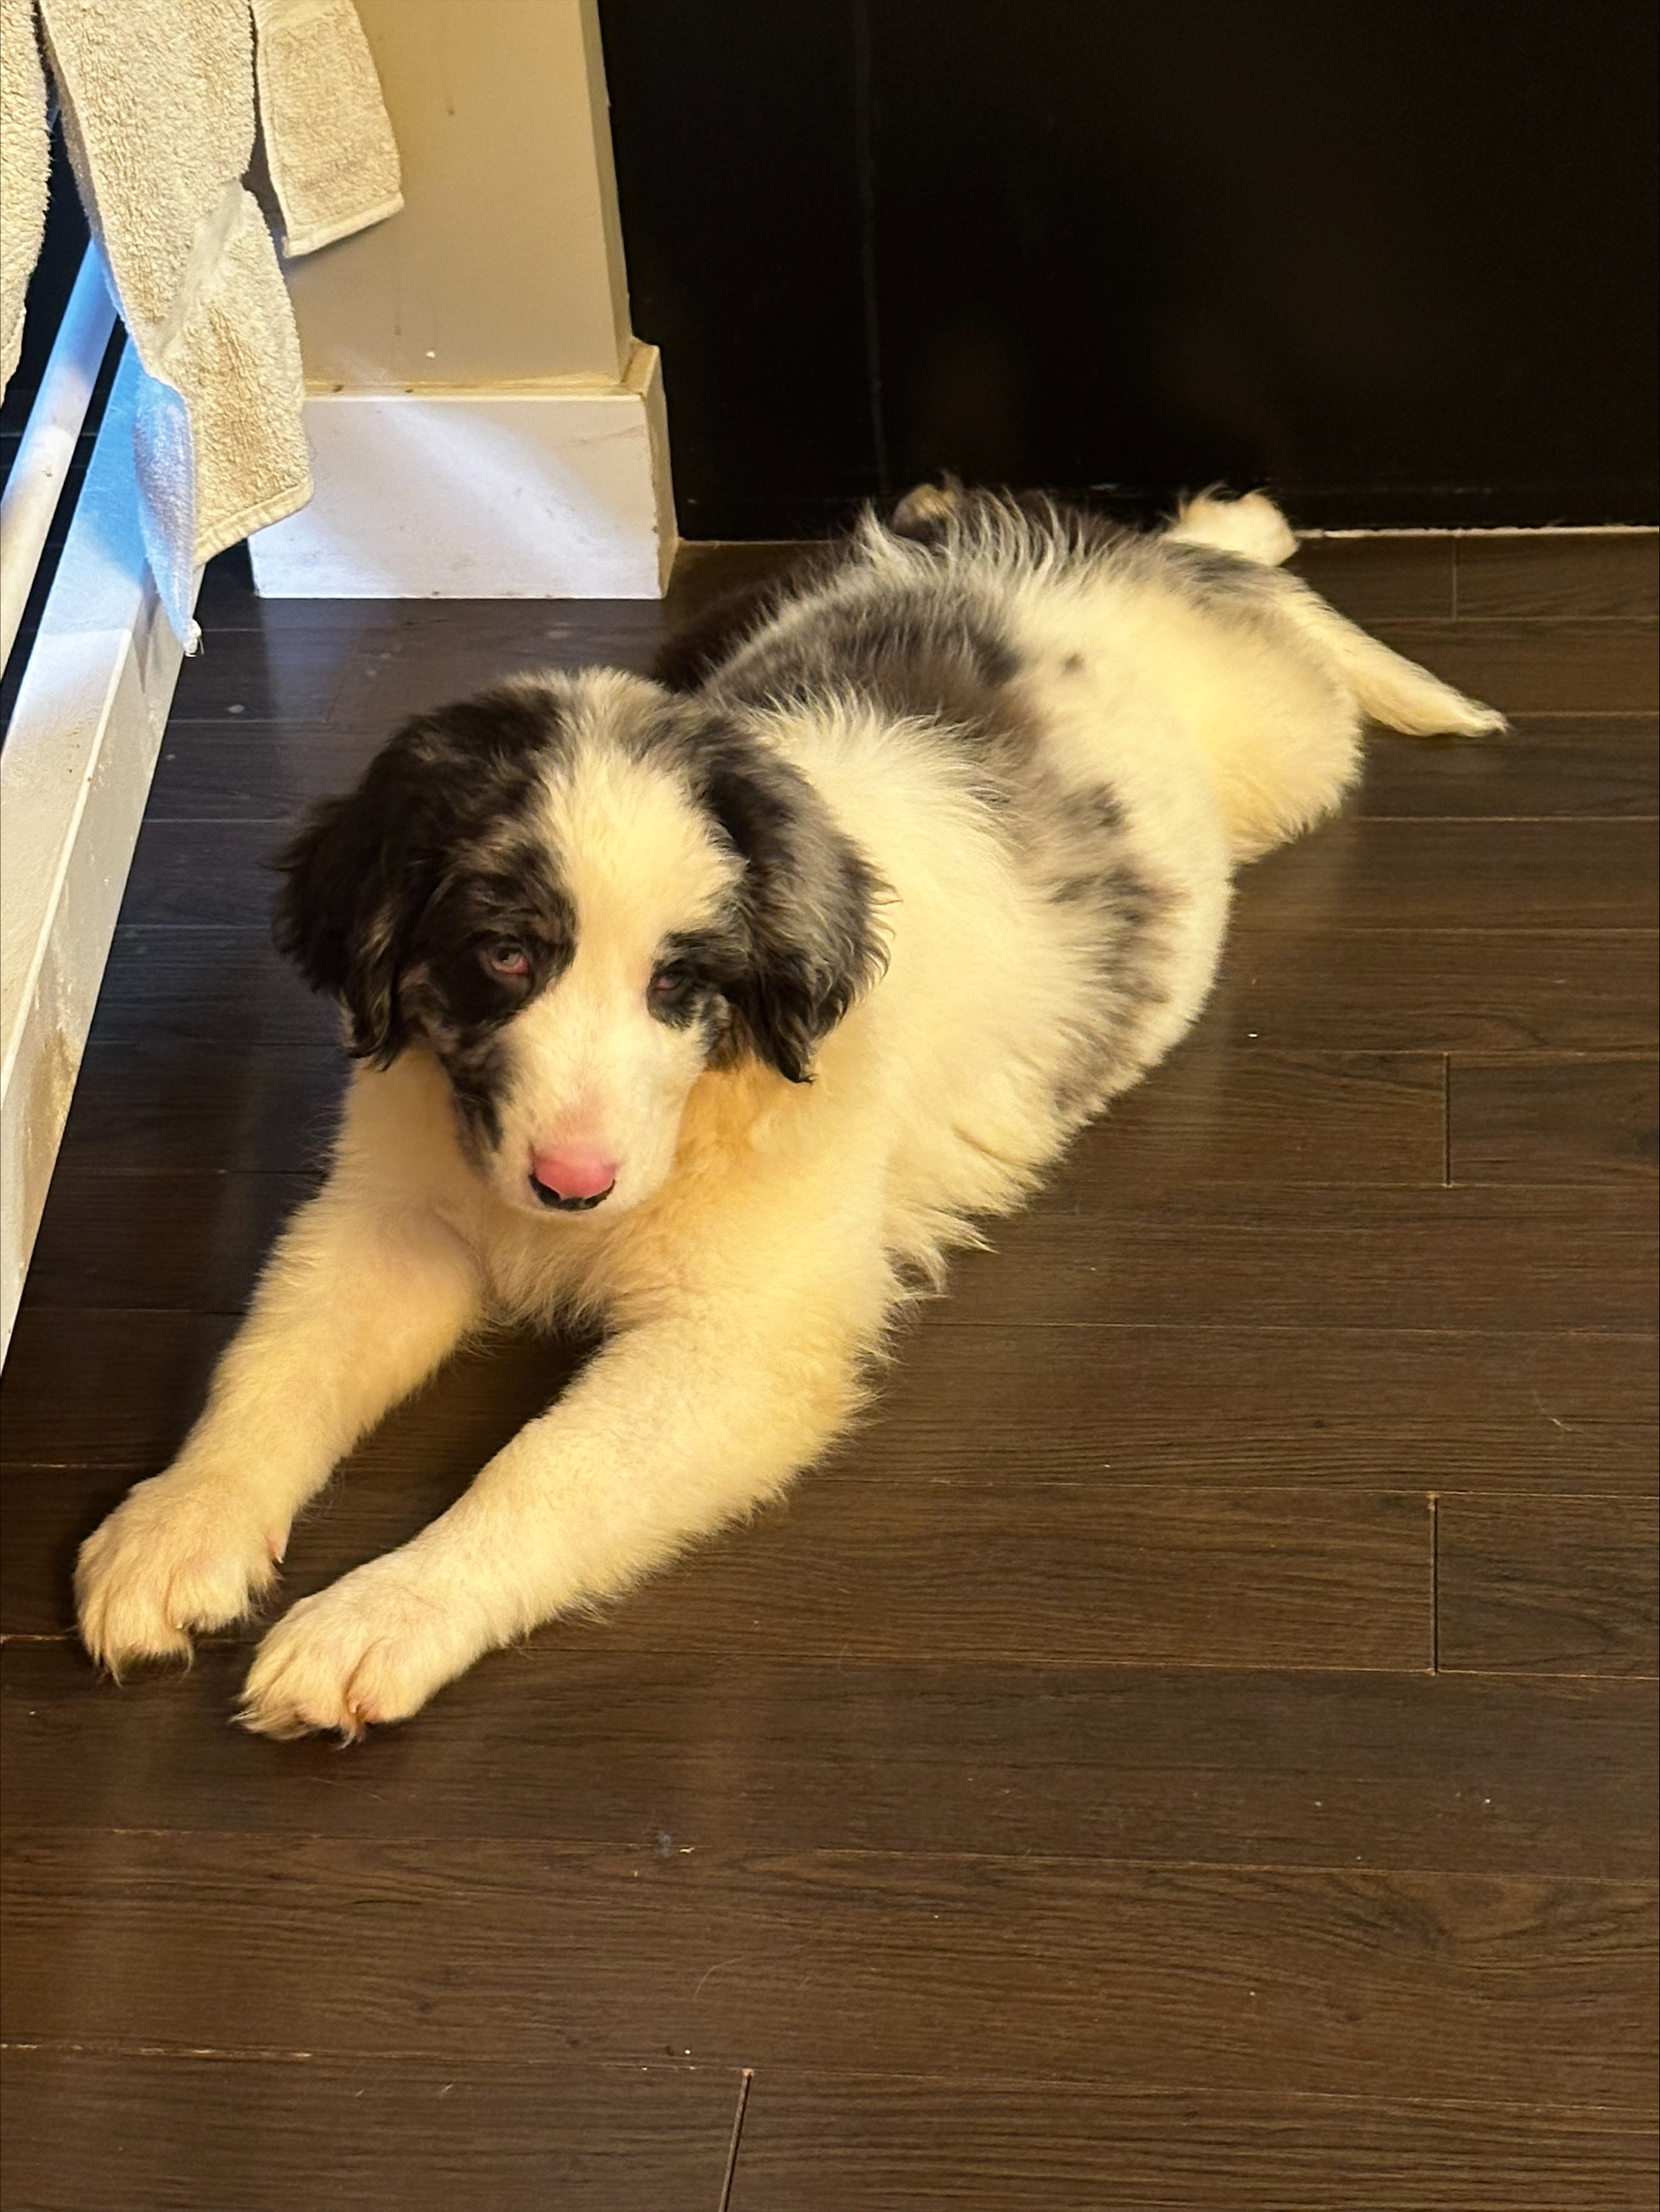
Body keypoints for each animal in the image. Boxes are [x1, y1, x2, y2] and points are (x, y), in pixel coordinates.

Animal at [75, 486, 1503, 1737]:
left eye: (678, 982)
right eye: (504, 956)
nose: (571, 1188)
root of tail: (1092, 555)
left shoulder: (743, 1339)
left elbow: (543, 1470)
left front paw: (382, 1614)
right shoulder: (394, 1212)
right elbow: (273, 1364)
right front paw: (177, 1524)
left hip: (1283, 750)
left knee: (1276, 624)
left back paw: (1283, 563)